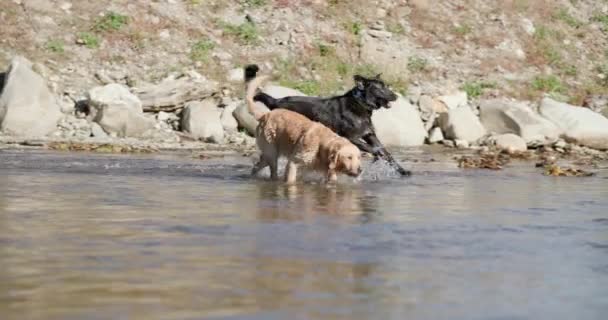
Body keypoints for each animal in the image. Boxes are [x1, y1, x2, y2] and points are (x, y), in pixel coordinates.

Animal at [245, 63, 410, 176]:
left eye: (386, 86)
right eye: (379, 88)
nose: (395, 96)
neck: (360, 104)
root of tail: (277, 101)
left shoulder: (370, 135)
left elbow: (387, 153)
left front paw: (403, 171)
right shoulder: (352, 137)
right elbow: (374, 149)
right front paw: (376, 155)